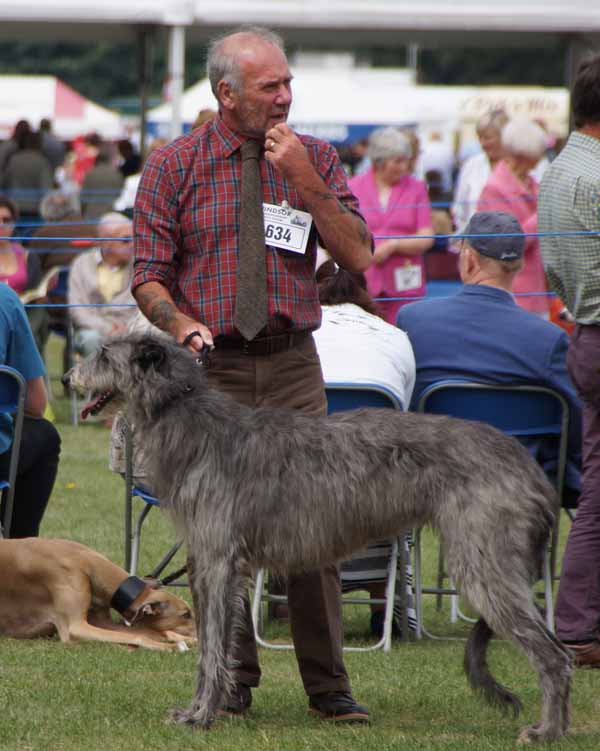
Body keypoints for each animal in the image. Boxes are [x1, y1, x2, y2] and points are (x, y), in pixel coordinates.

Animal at [0, 536, 196, 648]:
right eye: (186, 614)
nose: (200, 633)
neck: (85, 561)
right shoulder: (75, 628)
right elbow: (139, 636)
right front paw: (171, 646)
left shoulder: (101, 621)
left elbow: (152, 632)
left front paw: (182, 639)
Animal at [64, 336, 572, 748]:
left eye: (104, 354)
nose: (69, 377)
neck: (192, 422)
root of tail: (528, 467)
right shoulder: (215, 564)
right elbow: (217, 646)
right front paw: (201, 709)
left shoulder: (217, 561)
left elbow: (210, 649)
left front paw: (201, 715)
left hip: (484, 563)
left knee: (556, 656)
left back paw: (547, 731)